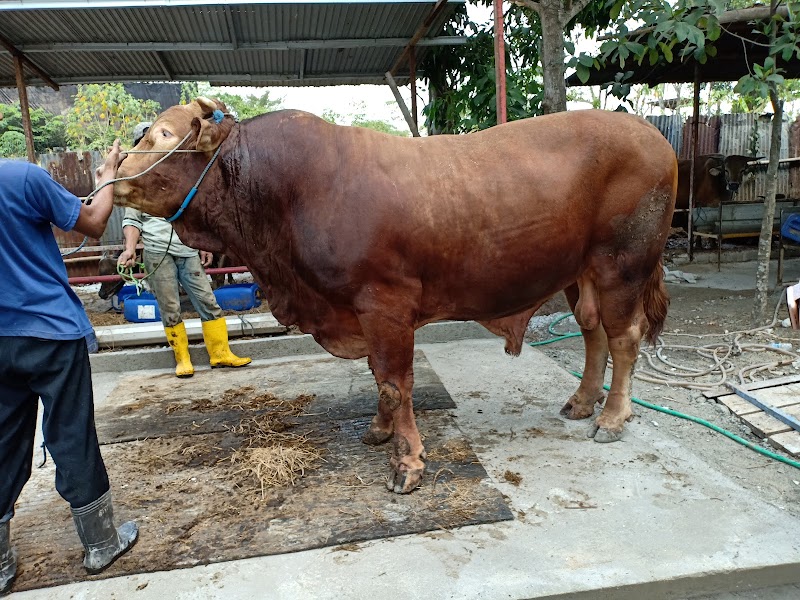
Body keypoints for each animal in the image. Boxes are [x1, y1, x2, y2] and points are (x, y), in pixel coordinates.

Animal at [111, 97, 676, 492]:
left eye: (163, 134)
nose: (112, 174)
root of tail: (651, 133)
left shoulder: (384, 304)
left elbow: (393, 383)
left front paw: (407, 462)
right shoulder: (360, 313)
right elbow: (377, 376)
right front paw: (379, 431)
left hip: (621, 266)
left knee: (624, 337)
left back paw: (611, 417)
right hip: (580, 273)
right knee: (592, 331)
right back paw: (581, 402)